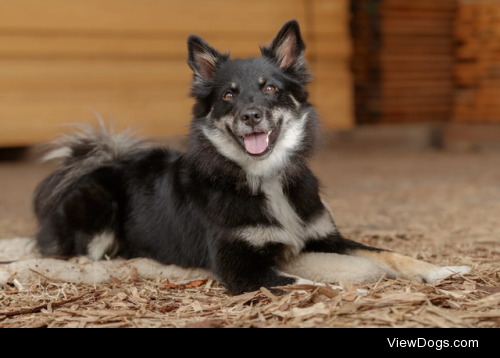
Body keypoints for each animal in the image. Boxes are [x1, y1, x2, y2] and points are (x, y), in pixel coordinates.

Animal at [34, 20, 468, 294]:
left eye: (271, 88)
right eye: (229, 94)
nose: (251, 115)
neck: (266, 176)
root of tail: (99, 160)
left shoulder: (325, 238)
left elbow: (387, 253)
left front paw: (440, 269)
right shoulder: (240, 269)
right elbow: (303, 283)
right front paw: (345, 293)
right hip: (98, 212)